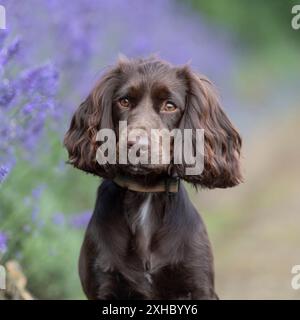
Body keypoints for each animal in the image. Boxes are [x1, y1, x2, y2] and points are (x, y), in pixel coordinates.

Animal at [63, 56, 241, 298]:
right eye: (124, 101)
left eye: (169, 106)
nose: (136, 145)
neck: (144, 193)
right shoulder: (103, 283)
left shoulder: (199, 286)